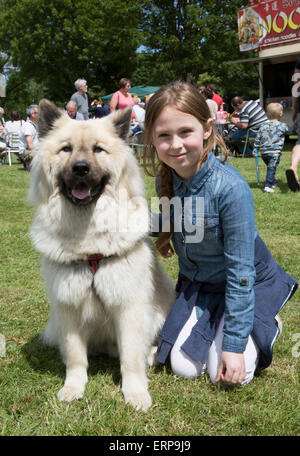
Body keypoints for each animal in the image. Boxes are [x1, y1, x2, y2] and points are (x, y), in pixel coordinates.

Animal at [29, 99, 175, 410]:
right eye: (66, 149)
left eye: (98, 149)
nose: (81, 169)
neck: (90, 245)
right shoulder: (68, 307)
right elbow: (75, 357)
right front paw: (73, 387)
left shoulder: (129, 306)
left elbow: (130, 359)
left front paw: (135, 393)